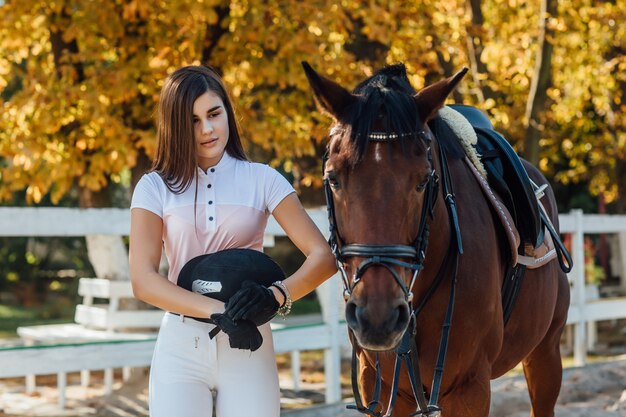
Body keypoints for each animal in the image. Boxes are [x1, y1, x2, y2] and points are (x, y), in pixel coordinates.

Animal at [302, 62, 572, 416]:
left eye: (422, 181)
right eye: (333, 178)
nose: (378, 317)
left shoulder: (469, 389)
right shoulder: (382, 389)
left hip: (545, 354)